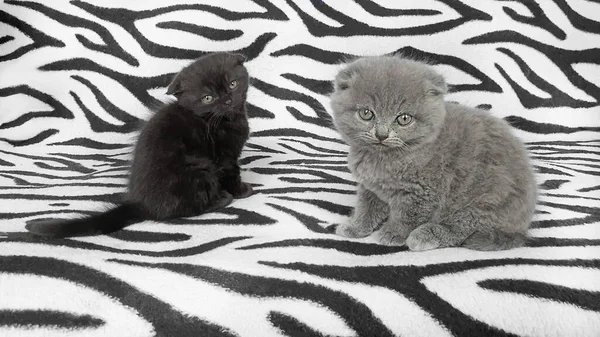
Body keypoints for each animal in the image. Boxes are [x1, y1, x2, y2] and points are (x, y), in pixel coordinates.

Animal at [27, 52, 253, 236]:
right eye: (208, 98)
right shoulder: (225, 157)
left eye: (233, 84)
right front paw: (242, 190)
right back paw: (222, 198)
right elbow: (232, 173)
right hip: (199, 168)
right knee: (186, 209)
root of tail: (142, 203)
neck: (220, 119)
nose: (227, 100)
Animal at [330, 55, 536, 249]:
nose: (382, 134)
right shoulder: (371, 187)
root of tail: (523, 223)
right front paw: (355, 227)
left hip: (483, 201)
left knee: (461, 229)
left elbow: (408, 215)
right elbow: (366, 207)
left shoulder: (422, 191)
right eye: (366, 113)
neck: (385, 159)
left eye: (404, 118)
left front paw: (393, 233)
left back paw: (425, 236)